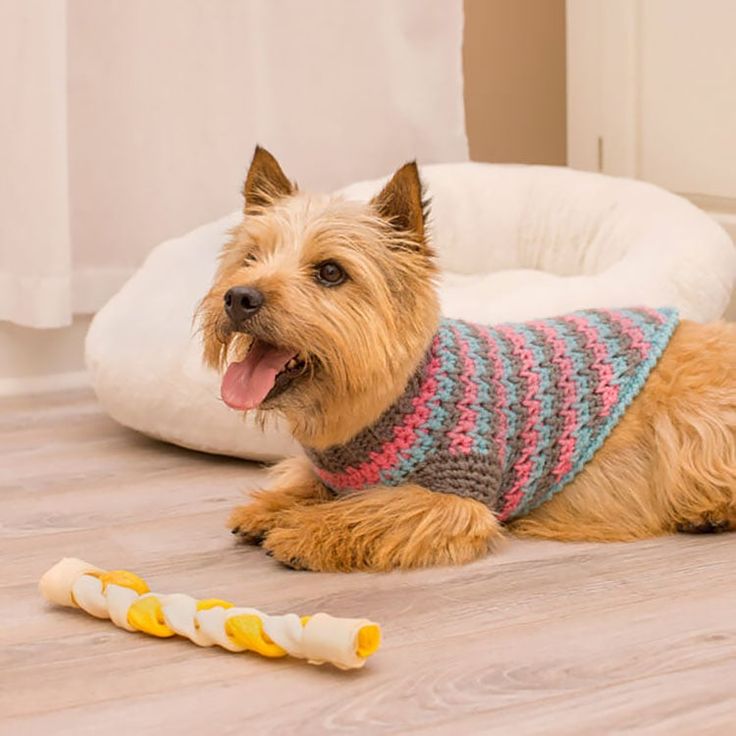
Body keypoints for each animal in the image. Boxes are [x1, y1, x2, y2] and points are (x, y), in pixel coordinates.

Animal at [197, 147, 736, 572]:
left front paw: (302, 531)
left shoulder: (454, 497)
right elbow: (303, 478)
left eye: (331, 272)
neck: (398, 394)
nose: (239, 297)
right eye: (250, 257)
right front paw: (269, 507)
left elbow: (372, 509)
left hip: (696, 424)